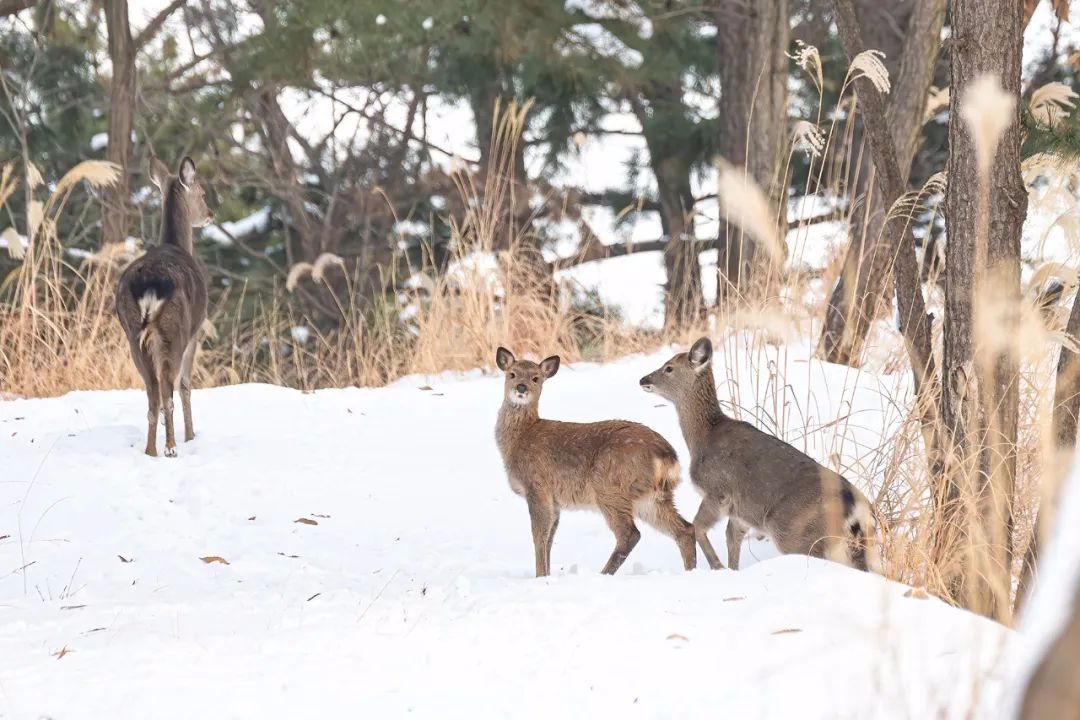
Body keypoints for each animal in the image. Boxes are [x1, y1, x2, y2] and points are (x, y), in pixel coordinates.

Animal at [117, 156, 213, 459]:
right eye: (202, 192)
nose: (211, 213)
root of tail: (150, 285)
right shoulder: (195, 332)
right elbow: (186, 386)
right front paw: (191, 435)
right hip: (174, 329)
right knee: (168, 389)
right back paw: (170, 446)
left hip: (133, 334)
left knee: (152, 393)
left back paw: (150, 450)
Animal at [494, 345, 695, 578]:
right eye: (512, 374)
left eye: (536, 378)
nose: (521, 387)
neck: (520, 438)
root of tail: (667, 457)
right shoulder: (555, 501)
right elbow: (549, 539)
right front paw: (547, 575)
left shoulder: (537, 485)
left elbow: (539, 536)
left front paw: (540, 577)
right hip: (653, 496)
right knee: (685, 529)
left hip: (611, 487)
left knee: (630, 533)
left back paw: (604, 574)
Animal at [635, 338, 881, 574]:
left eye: (669, 368)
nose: (643, 379)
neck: (702, 439)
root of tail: (857, 511)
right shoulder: (740, 512)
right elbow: (732, 539)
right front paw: (730, 569)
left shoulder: (718, 490)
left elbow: (698, 526)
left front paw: (716, 566)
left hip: (797, 533)